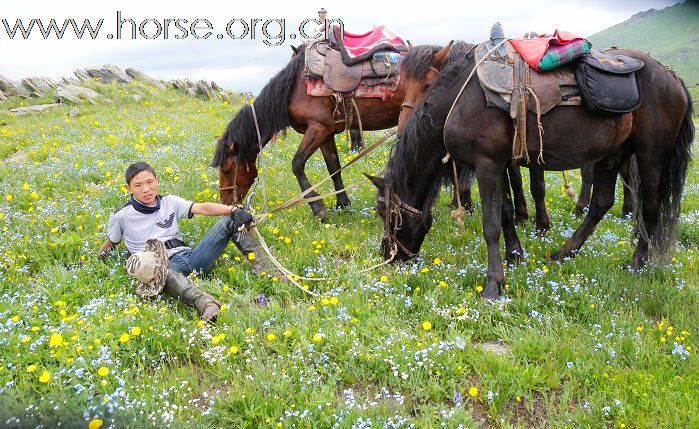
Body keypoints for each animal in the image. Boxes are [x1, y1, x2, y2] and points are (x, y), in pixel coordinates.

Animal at [211, 44, 402, 219]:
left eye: (228, 169)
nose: (225, 203)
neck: (294, 89)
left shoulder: (318, 128)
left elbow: (297, 164)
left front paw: (318, 208)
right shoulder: (326, 134)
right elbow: (334, 168)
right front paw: (342, 204)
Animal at [372, 47, 696, 298]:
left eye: (384, 213)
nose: (389, 257)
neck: (459, 103)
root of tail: (673, 78)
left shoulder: (487, 163)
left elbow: (491, 225)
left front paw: (494, 285)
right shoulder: (500, 163)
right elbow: (505, 211)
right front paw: (514, 255)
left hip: (651, 155)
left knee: (649, 208)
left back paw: (636, 263)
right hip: (613, 154)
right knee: (601, 203)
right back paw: (564, 253)